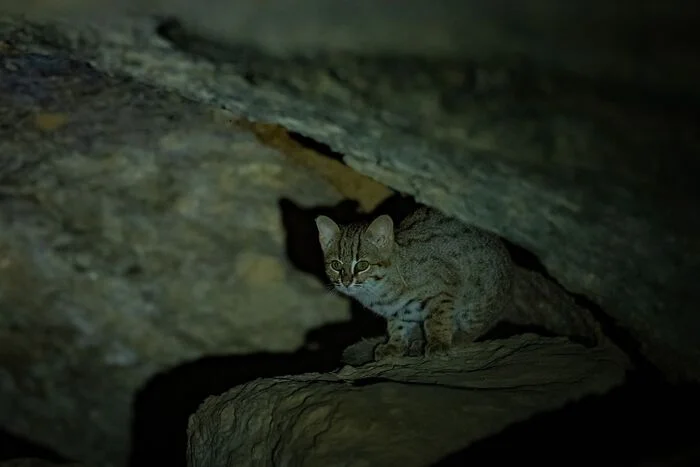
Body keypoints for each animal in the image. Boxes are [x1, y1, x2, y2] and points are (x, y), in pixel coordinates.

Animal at [314, 207, 516, 360]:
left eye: (362, 265)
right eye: (335, 265)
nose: (346, 282)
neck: (377, 293)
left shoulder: (442, 290)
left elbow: (437, 320)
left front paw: (439, 343)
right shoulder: (398, 310)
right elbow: (396, 326)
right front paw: (395, 345)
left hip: (477, 300)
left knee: (474, 329)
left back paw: (453, 340)